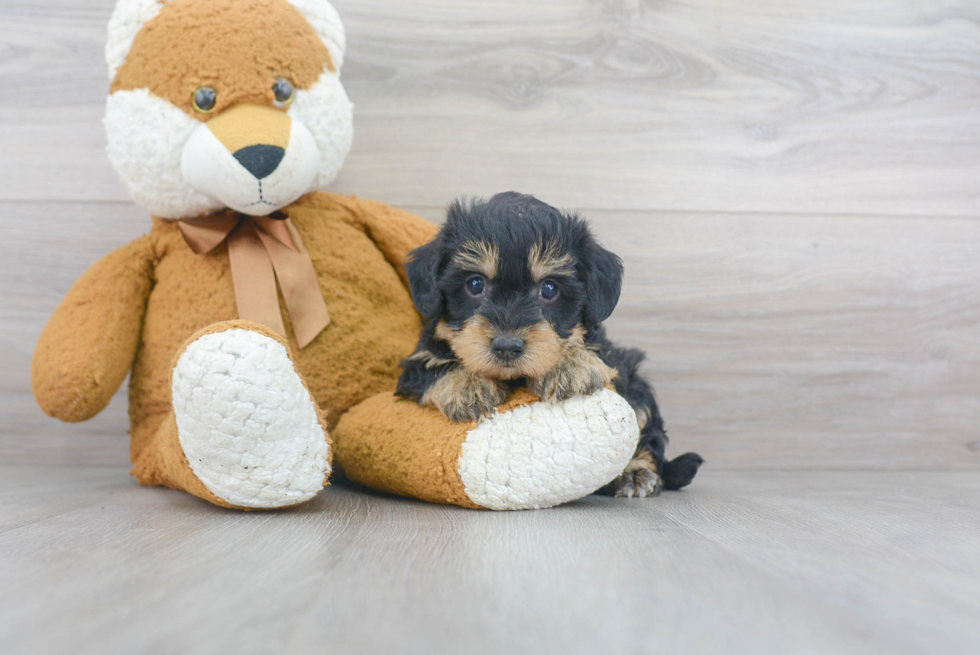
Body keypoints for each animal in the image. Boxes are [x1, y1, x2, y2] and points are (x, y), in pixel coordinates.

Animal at [394, 193, 700, 498]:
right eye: (475, 284)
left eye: (549, 288)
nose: (507, 346)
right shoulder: (415, 364)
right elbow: (434, 364)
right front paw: (467, 385)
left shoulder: (614, 359)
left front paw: (569, 365)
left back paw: (635, 472)